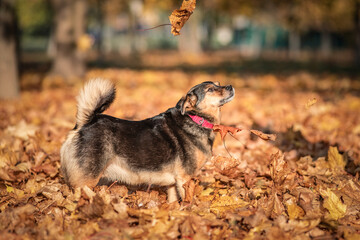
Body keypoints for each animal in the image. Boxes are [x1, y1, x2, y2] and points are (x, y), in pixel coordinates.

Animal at [60, 79, 235, 202]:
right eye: (211, 89)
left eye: (219, 84)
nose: (231, 86)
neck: (195, 118)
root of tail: (84, 123)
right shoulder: (184, 179)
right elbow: (187, 201)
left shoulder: (173, 182)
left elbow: (172, 201)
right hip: (87, 178)